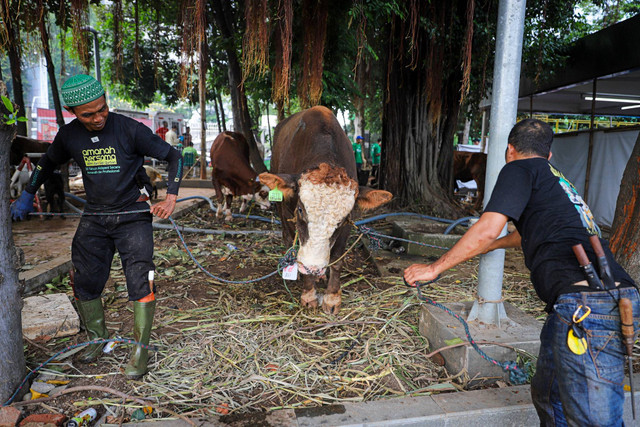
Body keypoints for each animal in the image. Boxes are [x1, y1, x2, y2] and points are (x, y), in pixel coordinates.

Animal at [258, 107, 390, 314]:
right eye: (301, 210)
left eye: (342, 219)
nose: (313, 268)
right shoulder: (289, 214)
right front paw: (309, 294)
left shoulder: (347, 226)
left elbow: (337, 258)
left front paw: (332, 297)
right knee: (288, 240)